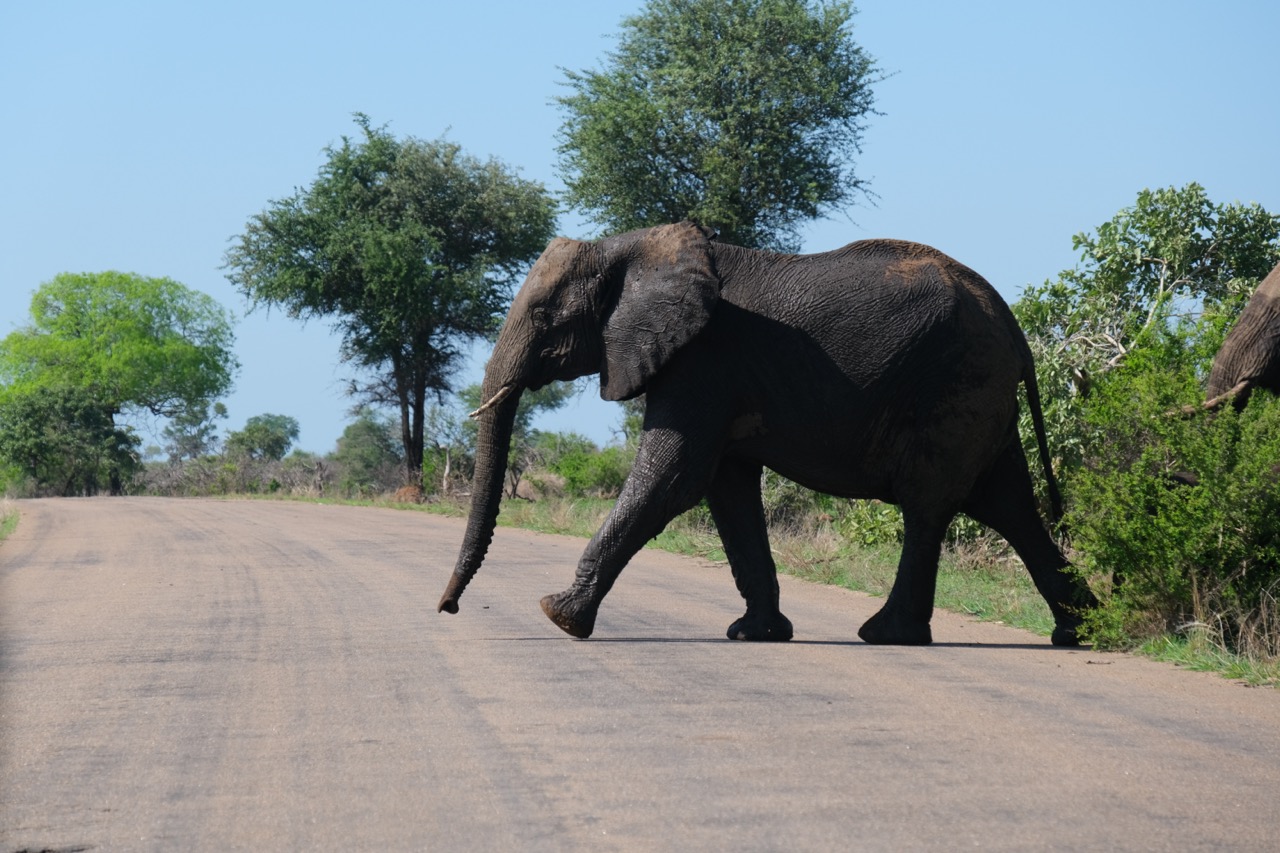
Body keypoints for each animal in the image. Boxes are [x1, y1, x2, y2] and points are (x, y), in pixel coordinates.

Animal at [437, 222, 1097, 646]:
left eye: (544, 316)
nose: (448, 608)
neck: (631, 247)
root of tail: (1014, 325)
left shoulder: (703, 362)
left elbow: (673, 477)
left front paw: (558, 617)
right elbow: (726, 490)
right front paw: (754, 635)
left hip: (957, 383)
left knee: (929, 505)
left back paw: (887, 635)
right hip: (981, 394)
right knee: (1009, 505)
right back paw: (1083, 633)